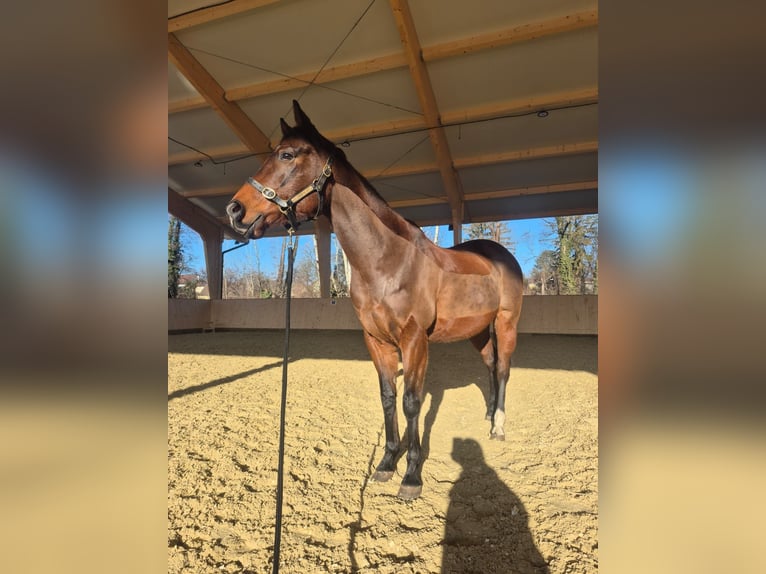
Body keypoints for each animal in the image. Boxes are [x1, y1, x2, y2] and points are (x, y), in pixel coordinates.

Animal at [226, 100, 523, 499]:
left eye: (286, 154)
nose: (235, 210)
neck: (387, 261)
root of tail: (500, 255)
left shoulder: (414, 341)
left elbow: (412, 402)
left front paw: (411, 476)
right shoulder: (377, 341)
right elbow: (388, 397)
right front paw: (386, 464)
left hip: (506, 323)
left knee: (503, 368)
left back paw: (499, 427)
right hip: (477, 330)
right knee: (490, 365)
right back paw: (489, 416)